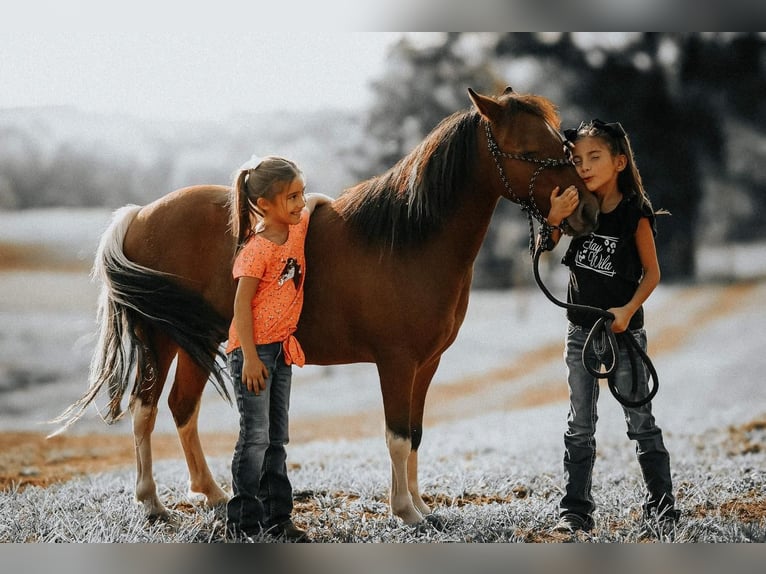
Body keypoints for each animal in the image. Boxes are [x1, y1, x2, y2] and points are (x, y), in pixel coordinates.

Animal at [57, 86, 604, 528]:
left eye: (562, 144)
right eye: (530, 152)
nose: (587, 211)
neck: (409, 238)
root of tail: (139, 215)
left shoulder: (426, 364)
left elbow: (415, 434)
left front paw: (421, 506)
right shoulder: (396, 362)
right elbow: (396, 435)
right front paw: (405, 512)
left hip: (200, 340)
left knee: (180, 408)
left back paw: (211, 495)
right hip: (162, 338)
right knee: (144, 411)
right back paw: (151, 503)